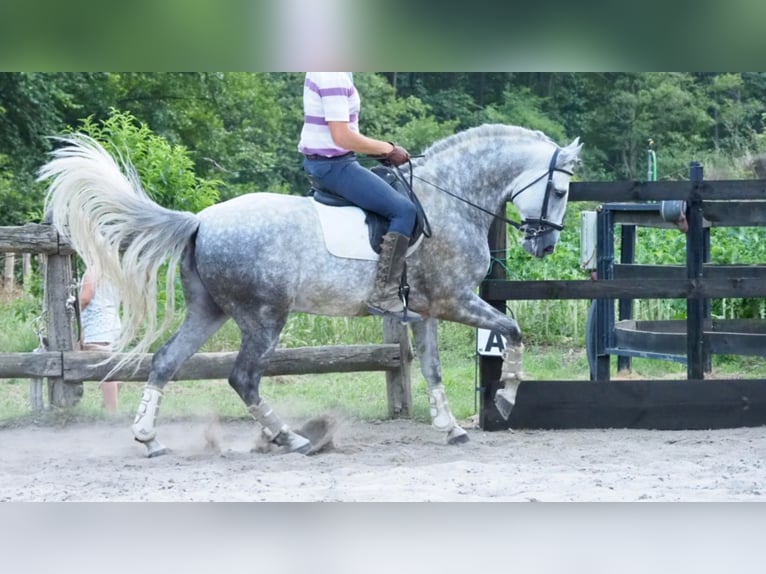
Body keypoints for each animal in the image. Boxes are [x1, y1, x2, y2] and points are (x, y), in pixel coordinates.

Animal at [42, 126, 584, 460]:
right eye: (559, 192)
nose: (544, 244)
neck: (449, 199)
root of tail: (200, 221)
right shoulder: (455, 301)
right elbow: (512, 329)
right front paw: (507, 400)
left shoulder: (428, 310)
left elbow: (431, 369)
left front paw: (450, 428)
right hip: (264, 317)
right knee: (243, 378)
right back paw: (293, 440)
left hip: (210, 311)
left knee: (166, 363)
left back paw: (149, 438)